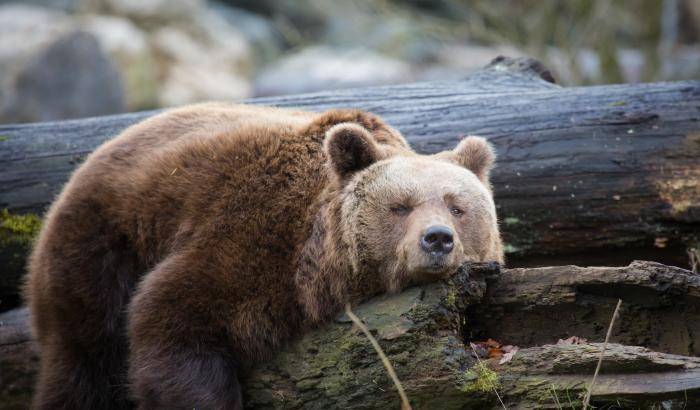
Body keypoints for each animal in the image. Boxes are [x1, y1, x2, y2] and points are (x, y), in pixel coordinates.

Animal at [23, 101, 504, 408]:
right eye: (400, 206)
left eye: (457, 207)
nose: (437, 239)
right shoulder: (248, 240)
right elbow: (172, 322)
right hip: (101, 248)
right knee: (84, 362)